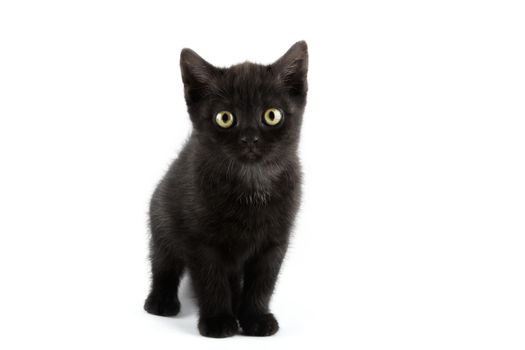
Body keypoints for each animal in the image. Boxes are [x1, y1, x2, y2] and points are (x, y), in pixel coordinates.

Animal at [143, 41, 308, 340]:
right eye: (225, 118)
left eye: (272, 115)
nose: (250, 138)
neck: (251, 185)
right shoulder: (201, 241)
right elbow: (211, 280)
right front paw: (218, 321)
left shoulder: (275, 241)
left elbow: (263, 283)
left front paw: (255, 318)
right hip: (162, 220)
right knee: (164, 263)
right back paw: (161, 301)